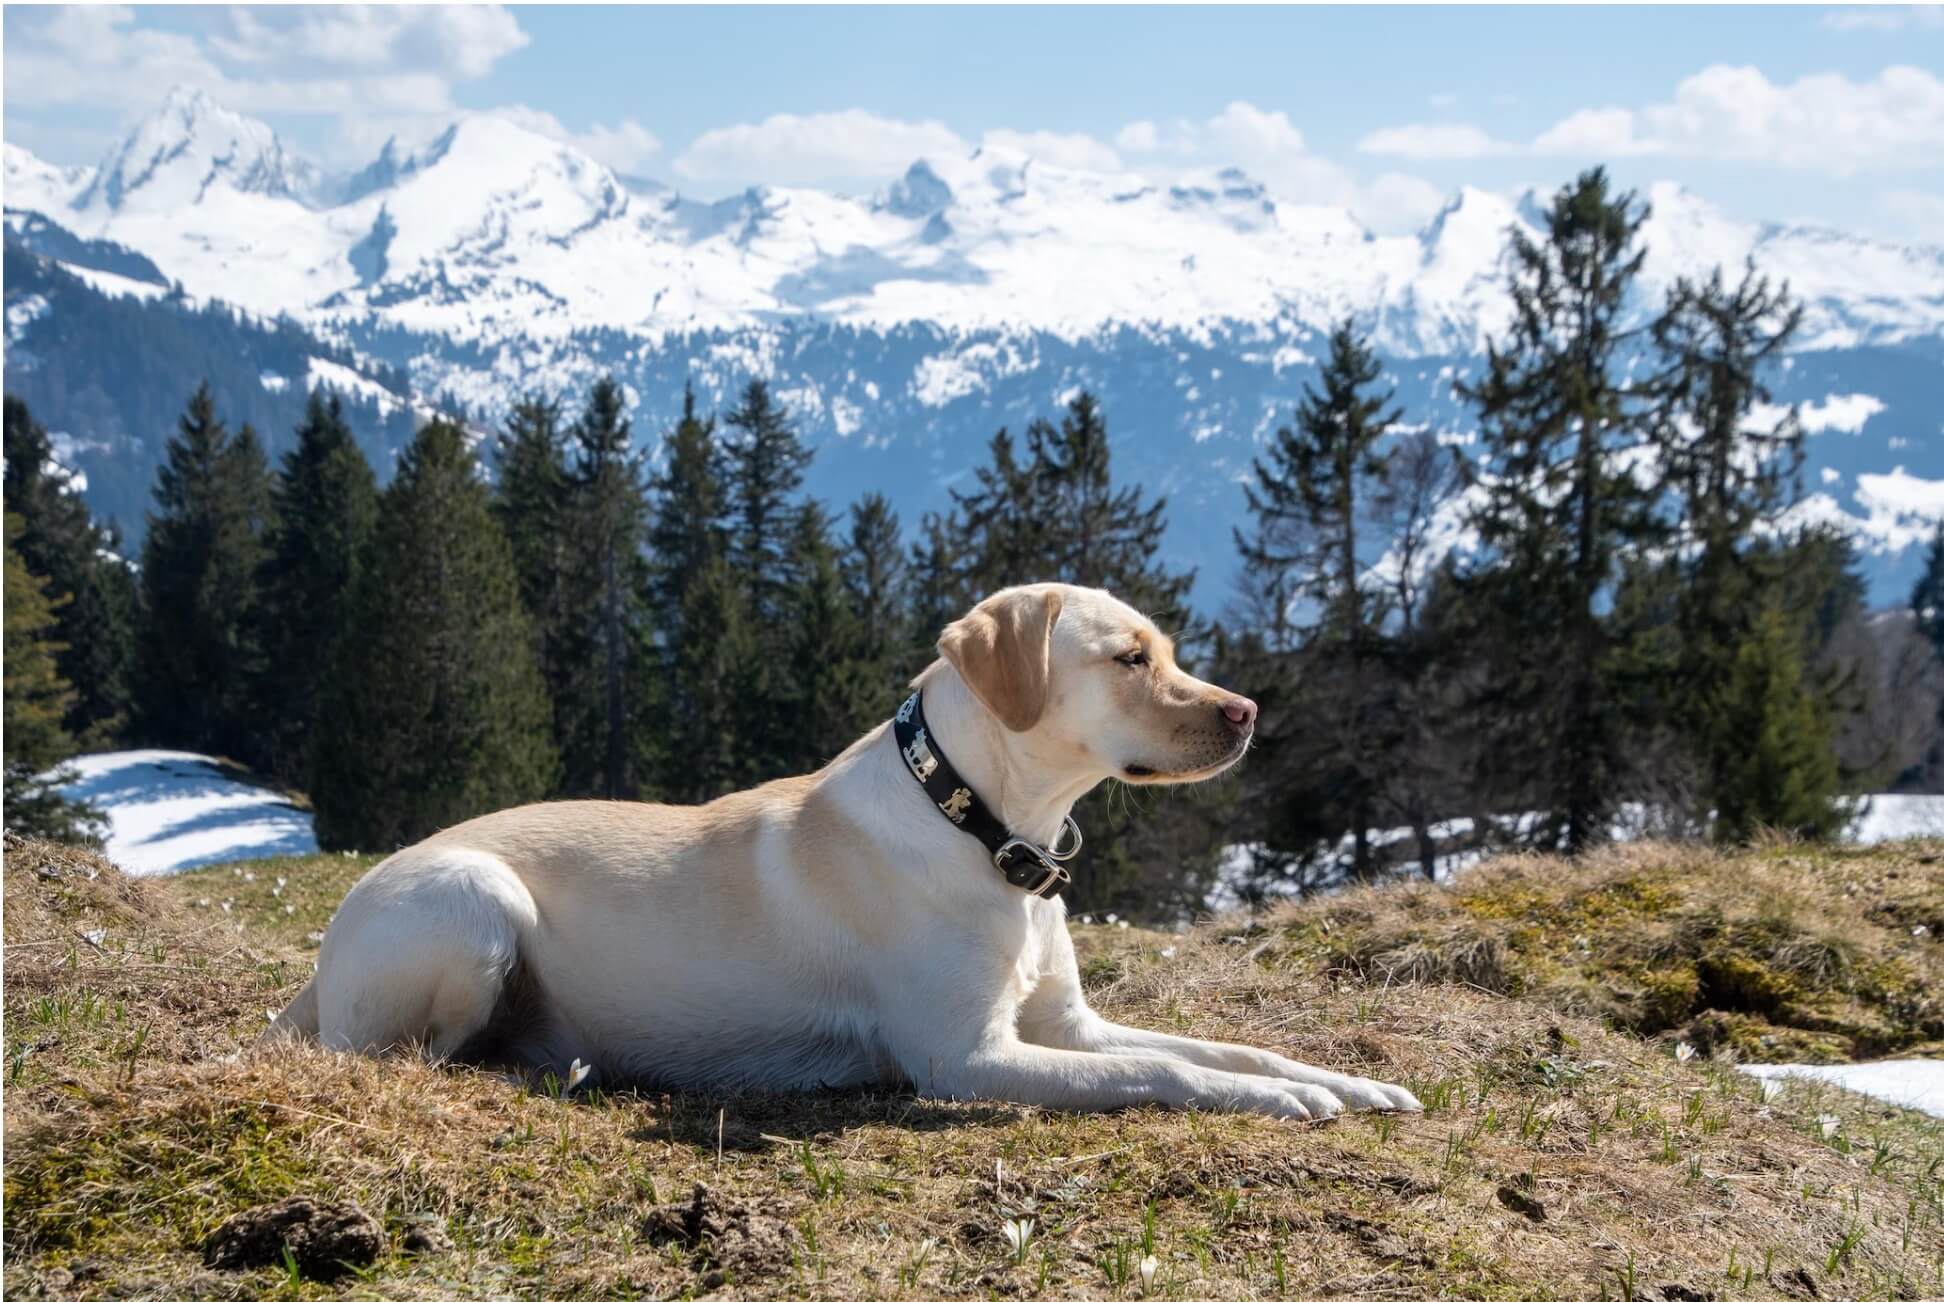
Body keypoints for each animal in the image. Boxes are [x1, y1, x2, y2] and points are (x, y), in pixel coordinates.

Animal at [274, 590, 1423, 1119]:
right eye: (1130, 659)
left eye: (1170, 650)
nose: (1248, 713)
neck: (984, 828)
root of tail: (315, 970)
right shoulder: (967, 1059)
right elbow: (1164, 1069)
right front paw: (1281, 1103)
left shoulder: (1066, 1026)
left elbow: (1228, 1048)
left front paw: (1341, 1082)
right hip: (473, 903)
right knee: (404, 1056)